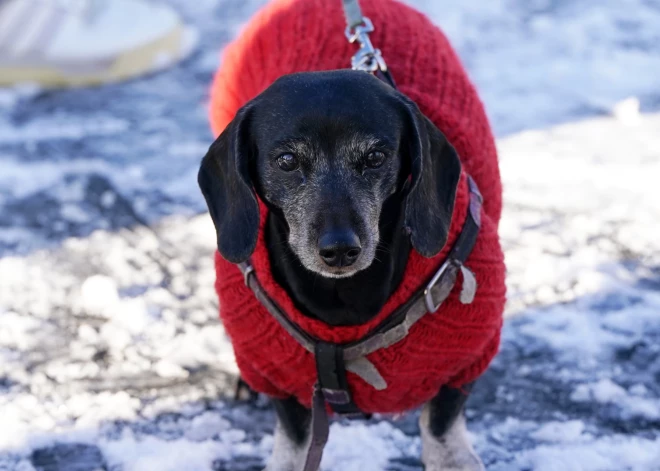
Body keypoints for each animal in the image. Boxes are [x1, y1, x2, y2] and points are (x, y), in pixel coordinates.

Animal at [199, 0, 508, 468]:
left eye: (376, 156)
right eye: (286, 160)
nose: (340, 250)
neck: (344, 301)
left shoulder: (462, 363)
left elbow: (442, 424)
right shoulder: (290, 391)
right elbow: (293, 440)